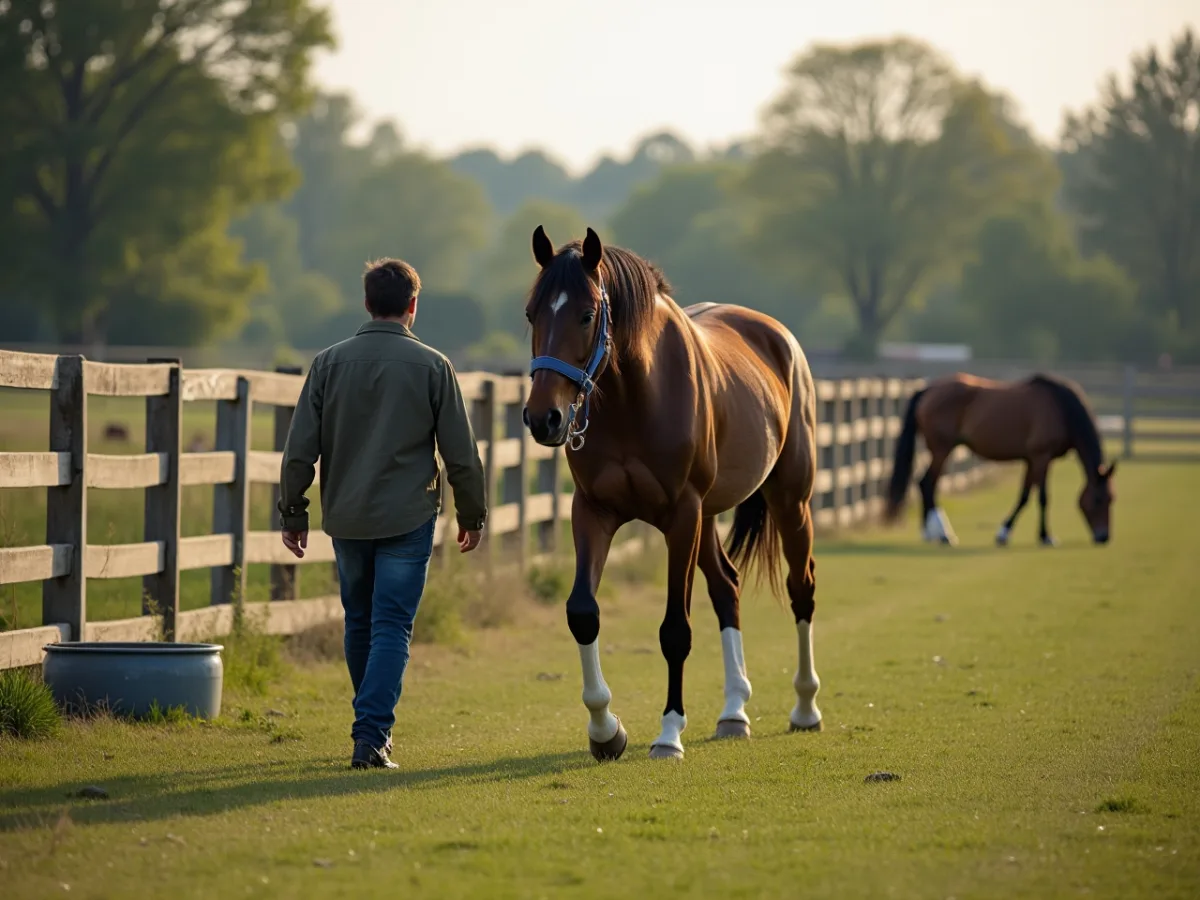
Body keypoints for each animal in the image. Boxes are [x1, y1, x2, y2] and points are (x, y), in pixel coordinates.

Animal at [521, 226, 822, 761]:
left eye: (586, 314)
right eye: (533, 313)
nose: (544, 418)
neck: (634, 396)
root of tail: (779, 338)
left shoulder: (681, 515)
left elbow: (675, 630)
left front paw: (668, 734)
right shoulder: (593, 511)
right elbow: (583, 613)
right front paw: (606, 730)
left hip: (789, 501)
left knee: (800, 588)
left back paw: (805, 707)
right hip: (708, 518)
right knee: (727, 587)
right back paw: (733, 711)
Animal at [883, 373, 1116, 547]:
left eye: (1112, 499)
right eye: (1098, 499)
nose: (1103, 537)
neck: (1060, 407)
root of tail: (928, 390)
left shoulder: (1031, 460)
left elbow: (1024, 496)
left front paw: (1004, 532)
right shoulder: (1042, 457)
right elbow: (1042, 497)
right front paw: (1045, 536)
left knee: (925, 484)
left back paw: (929, 533)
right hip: (942, 449)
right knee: (927, 483)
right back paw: (943, 535)